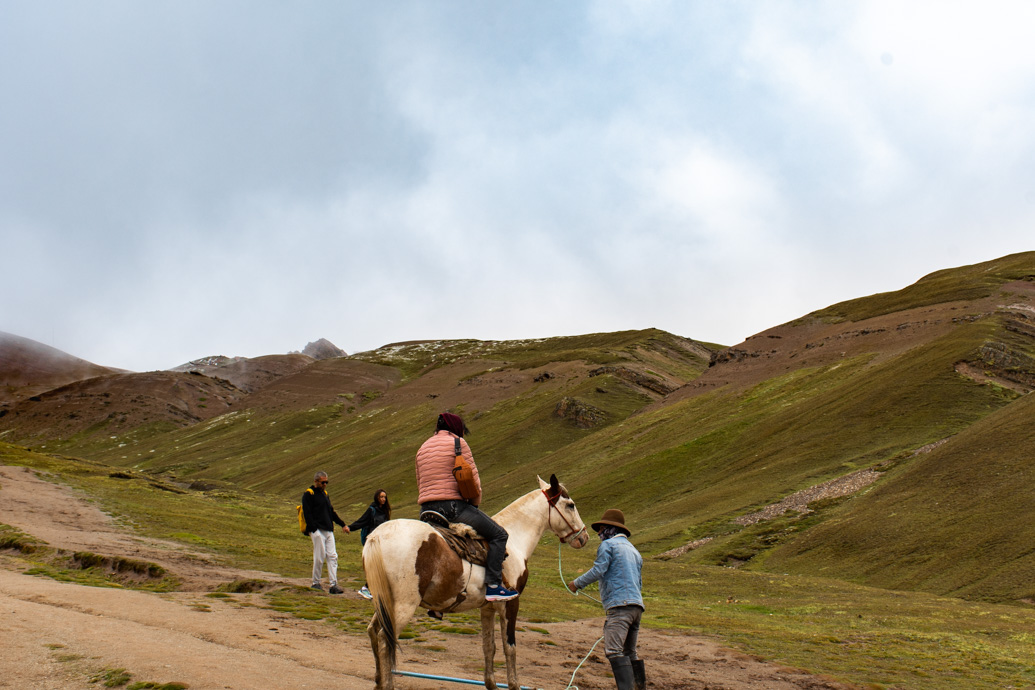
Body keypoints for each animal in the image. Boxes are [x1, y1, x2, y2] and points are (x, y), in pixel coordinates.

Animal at [364, 475, 592, 690]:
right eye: (570, 505)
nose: (584, 537)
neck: (514, 541)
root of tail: (376, 536)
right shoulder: (511, 603)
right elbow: (509, 646)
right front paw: (514, 684)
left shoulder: (488, 607)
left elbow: (488, 646)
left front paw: (491, 684)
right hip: (404, 604)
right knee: (385, 640)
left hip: (383, 601)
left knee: (372, 631)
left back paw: (378, 681)